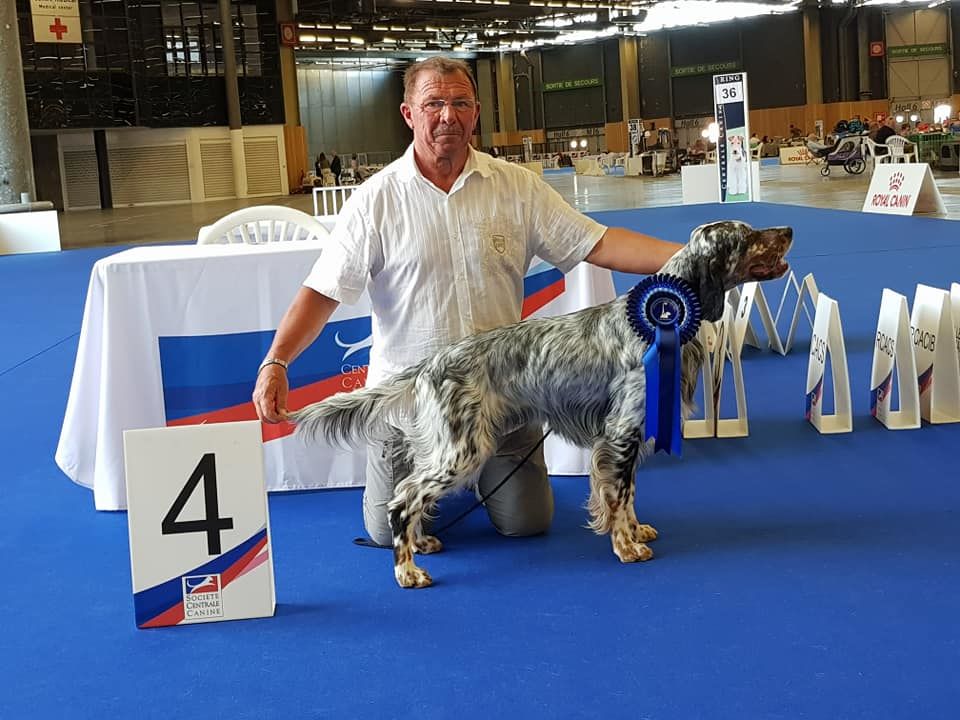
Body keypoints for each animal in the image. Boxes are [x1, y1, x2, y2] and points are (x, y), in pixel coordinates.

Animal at [292, 218, 788, 584]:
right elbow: (617, 496)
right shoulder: (621, 433)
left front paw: (636, 530)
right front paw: (627, 546)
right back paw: (407, 570)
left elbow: (627, 495)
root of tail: (432, 363)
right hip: (462, 451)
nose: (787, 230)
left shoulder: (627, 434)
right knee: (402, 498)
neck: (667, 316)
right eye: (747, 236)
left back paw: (421, 543)